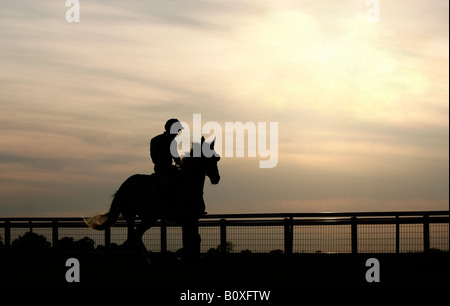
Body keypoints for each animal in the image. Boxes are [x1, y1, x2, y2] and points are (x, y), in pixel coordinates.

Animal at [85, 139, 220, 260]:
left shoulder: (193, 218)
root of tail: (123, 187)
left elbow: (195, 239)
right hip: (132, 215)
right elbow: (191, 241)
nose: (216, 178)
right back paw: (148, 259)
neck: (187, 184)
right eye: (208, 158)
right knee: (133, 237)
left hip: (148, 218)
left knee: (136, 236)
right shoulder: (185, 219)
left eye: (216, 158)